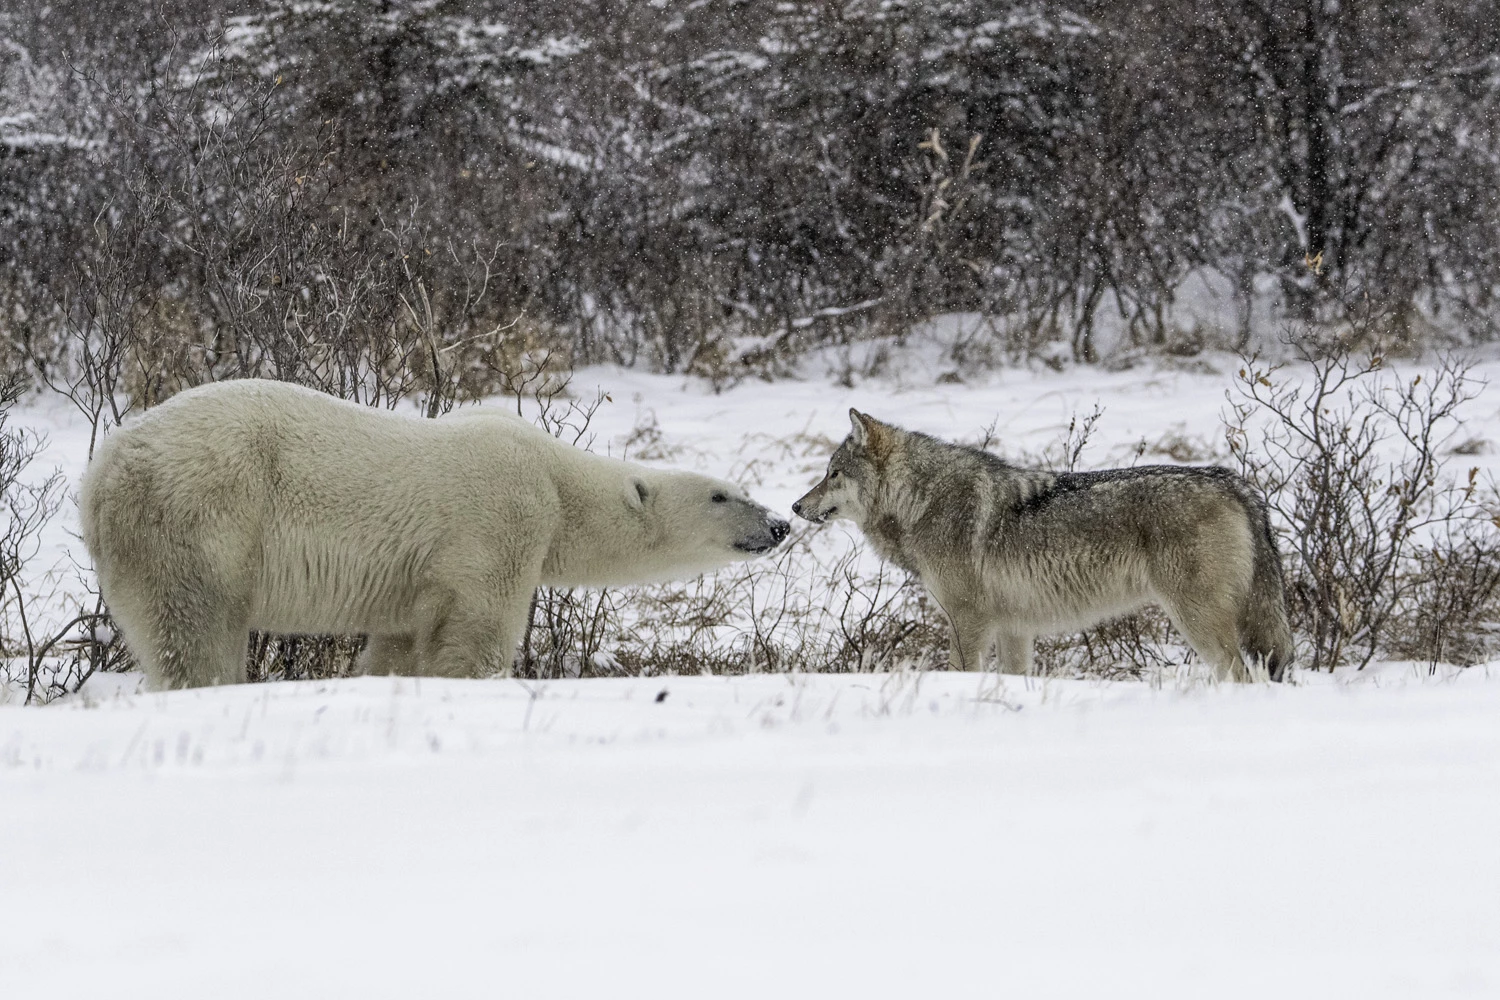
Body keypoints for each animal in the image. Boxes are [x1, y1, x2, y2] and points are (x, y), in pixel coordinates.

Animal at [79, 379, 790, 689]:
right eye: (722, 494)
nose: (780, 523)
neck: (555, 478)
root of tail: (104, 468)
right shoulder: (499, 519)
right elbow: (475, 629)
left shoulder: (409, 582)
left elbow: (398, 643)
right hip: (200, 515)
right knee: (195, 628)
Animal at [793, 410, 1293, 681]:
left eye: (833, 473)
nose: (796, 506)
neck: (922, 500)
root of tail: (1234, 482)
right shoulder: (1015, 628)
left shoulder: (967, 622)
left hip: (1196, 620)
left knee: (1241, 674)